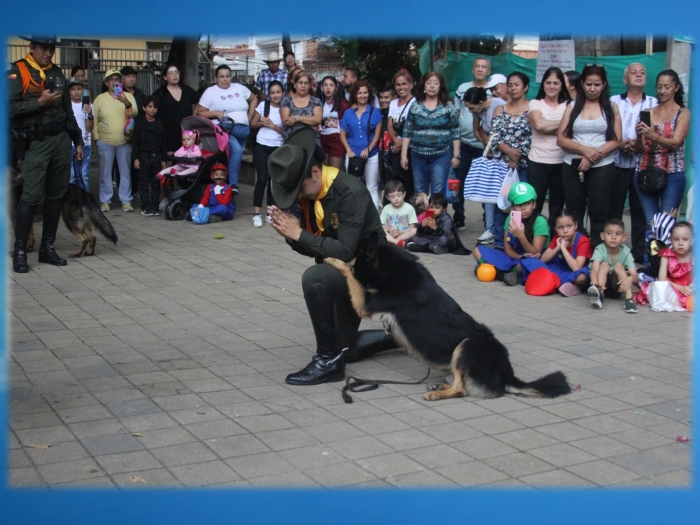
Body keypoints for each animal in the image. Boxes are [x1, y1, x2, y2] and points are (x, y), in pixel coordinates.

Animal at [326, 233, 572, 402]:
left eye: (358, 262)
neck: (395, 269)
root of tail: (507, 374)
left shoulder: (366, 304)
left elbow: (348, 272)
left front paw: (332, 260)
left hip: (466, 346)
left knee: (462, 389)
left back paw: (438, 394)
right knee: (459, 382)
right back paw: (439, 387)